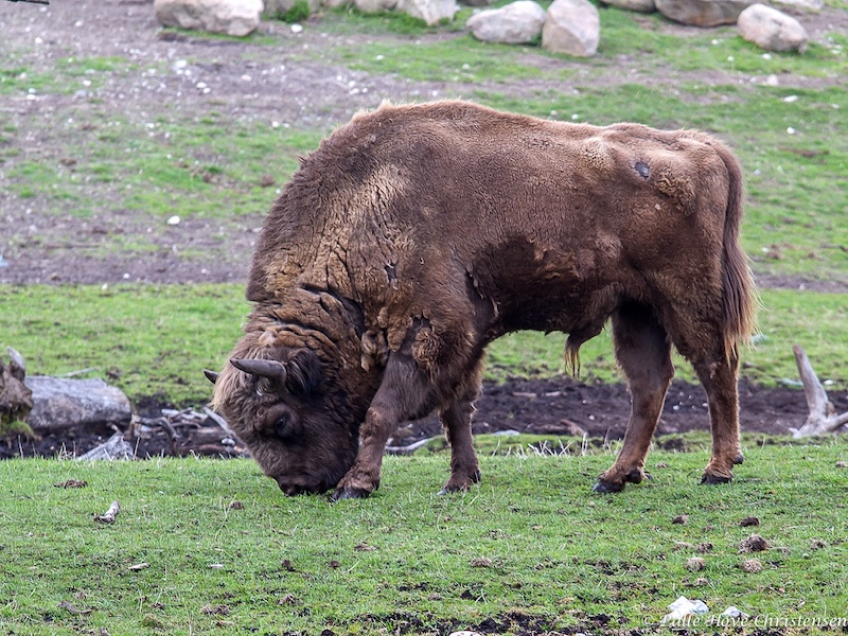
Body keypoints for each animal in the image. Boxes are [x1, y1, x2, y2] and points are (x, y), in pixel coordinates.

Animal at [208, 100, 756, 500]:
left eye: (279, 419)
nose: (297, 487)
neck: (366, 206)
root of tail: (704, 148)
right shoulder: (464, 342)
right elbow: (457, 411)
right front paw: (458, 481)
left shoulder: (429, 331)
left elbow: (382, 412)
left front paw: (357, 486)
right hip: (637, 311)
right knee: (650, 385)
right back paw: (614, 477)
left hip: (687, 300)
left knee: (715, 369)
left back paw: (718, 469)